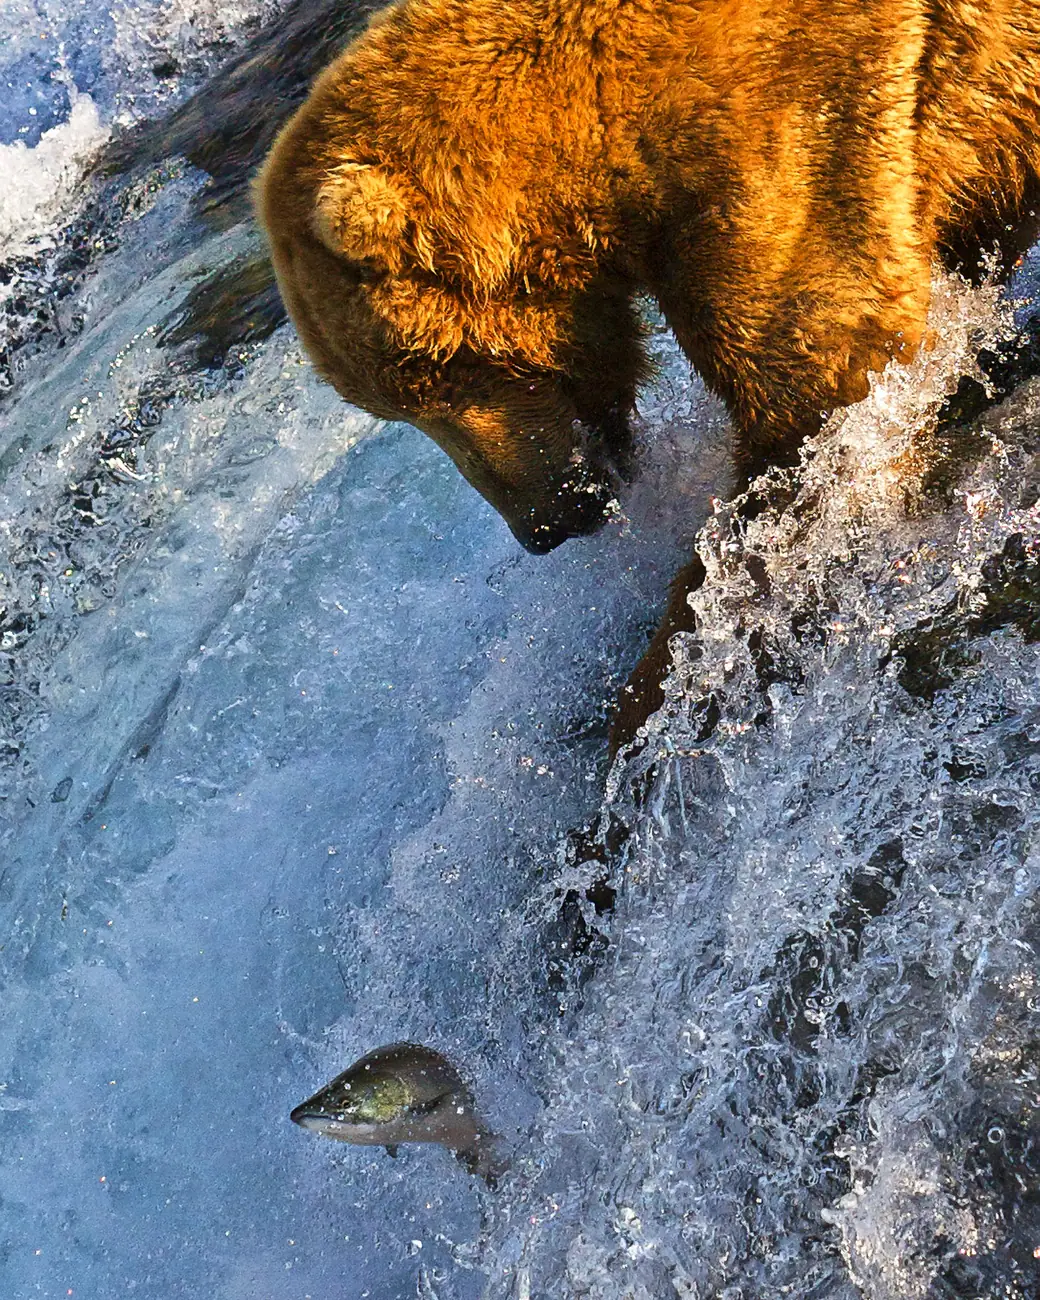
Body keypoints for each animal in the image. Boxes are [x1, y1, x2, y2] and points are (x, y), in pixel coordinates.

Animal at [255, 0, 1040, 746]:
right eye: (392, 406)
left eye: (434, 374)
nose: (541, 527)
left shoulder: (789, 125)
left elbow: (818, 399)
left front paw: (650, 696)